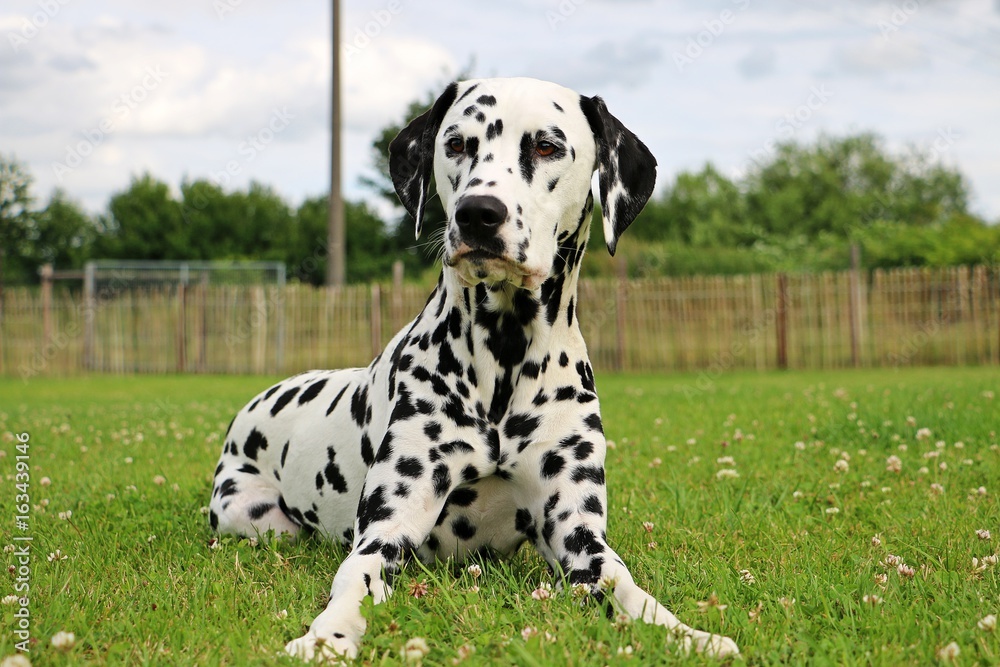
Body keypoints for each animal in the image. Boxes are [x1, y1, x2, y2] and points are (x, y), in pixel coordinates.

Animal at [211, 75, 740, 660]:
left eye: (547, 146)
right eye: (458, 143)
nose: (478, 213)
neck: (505, 358)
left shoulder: (579, 535)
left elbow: (625, 585)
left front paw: (686, 634)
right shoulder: (384, 532)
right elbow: (355, 578)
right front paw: (327, 636)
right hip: (251, 514)